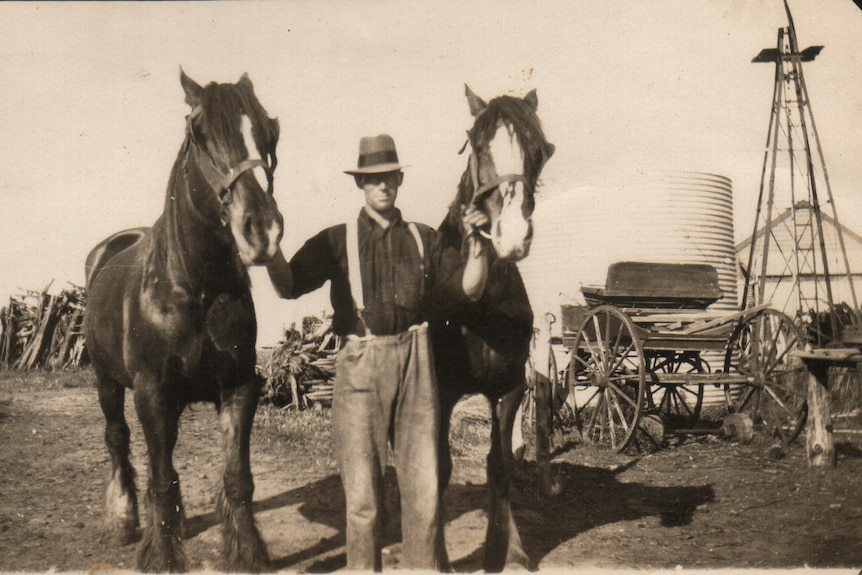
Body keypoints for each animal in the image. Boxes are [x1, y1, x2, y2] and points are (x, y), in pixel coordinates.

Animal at [84, 71, 282, 572]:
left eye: (269, 131)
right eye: (200, 131)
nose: (262, 231)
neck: (195, 290)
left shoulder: (238, 387)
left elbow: (236, 478)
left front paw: (247, 552)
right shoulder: (151, 393)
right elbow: (159, 476)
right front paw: (160, 554)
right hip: (107, 383)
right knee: (118, 440)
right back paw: (124, 519)